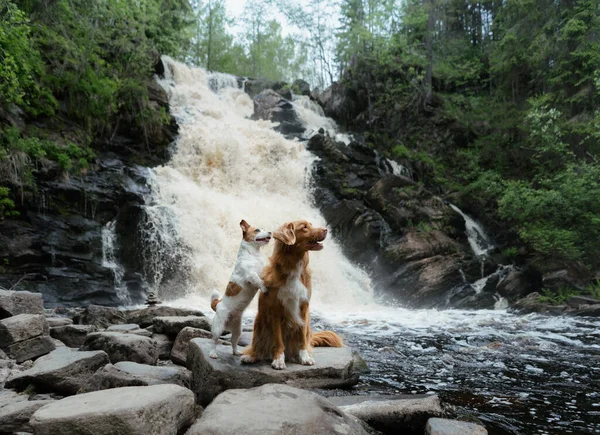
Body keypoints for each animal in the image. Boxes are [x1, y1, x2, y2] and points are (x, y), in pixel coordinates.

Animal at [209, 220, 270, 360]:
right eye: (257, 230)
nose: (270, 232)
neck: (253, 254)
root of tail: (218, 304)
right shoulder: (251, 275)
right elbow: (259, 281)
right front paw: (264, 288)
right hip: (218, 327)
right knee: (214, 340)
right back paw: (213, 353)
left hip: (238, 330)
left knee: (233, 341)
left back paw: (236, 352)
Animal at [239, 220, 342, 370]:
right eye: (304, 227)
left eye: (311, 224)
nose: (326, 229)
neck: (294, 266)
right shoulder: (275, 310)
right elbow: (278, 340)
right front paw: (278, 360)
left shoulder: (303, 308)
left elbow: (301, 339)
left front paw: (304, 357)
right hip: (259, 321)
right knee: (258, 346)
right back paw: (251, 356)